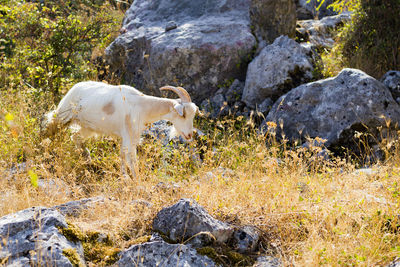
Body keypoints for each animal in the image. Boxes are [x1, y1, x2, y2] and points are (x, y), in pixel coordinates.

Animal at [43, 81, 198, 178]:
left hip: (87, 127)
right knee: (50, 128)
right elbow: (130, 157)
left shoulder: (131, 136)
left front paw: (130, 177)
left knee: (75, 136)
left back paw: (87, 158)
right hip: (62, 115)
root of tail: (74, 88)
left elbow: (125, 156)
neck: (142, 105)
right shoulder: (128, 134)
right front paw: (132, 178)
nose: (189, 135)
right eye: (183, 114)